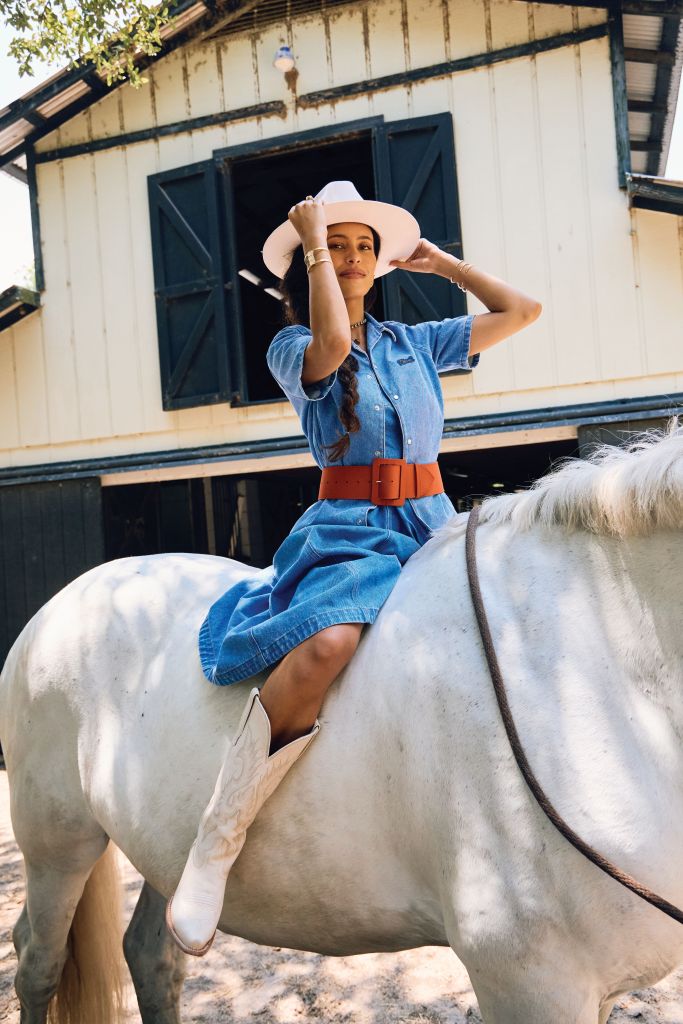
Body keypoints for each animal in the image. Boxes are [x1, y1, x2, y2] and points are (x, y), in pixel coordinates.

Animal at [1, 423, 683, 1024]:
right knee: (37, 961)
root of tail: (57, 605)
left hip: (154, 849)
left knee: (149, 956)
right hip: (58, 844)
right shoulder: (530, 981)